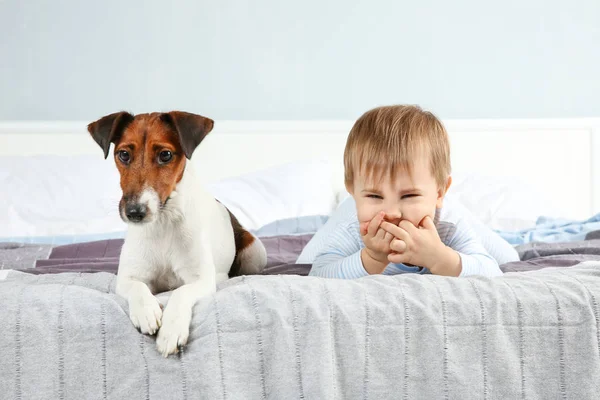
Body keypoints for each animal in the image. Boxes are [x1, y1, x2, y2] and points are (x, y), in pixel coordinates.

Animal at [86, 111, 268, 358]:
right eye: (123, 154)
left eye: (165, 155)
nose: (134, 212)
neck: (163, 224)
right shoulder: (127, 278)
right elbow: (138, 287)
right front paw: (146, 311)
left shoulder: (201, 281)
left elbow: (181, 292)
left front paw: (171, 331)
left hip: (256, 253)